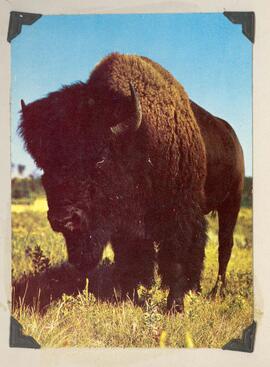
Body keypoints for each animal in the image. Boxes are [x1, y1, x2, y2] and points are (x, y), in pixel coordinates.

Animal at [17, 52, 244, 310]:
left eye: (101, 158)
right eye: (44, 165)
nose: (63, 219)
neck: (138, 141)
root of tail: (231, 136)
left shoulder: (178, 212)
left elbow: (175, 255)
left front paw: (174, 305)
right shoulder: (125, 225)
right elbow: (134, 258)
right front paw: (130, 295)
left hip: (231, 203)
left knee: (224, 245)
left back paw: (217, 291)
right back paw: (195, 288)